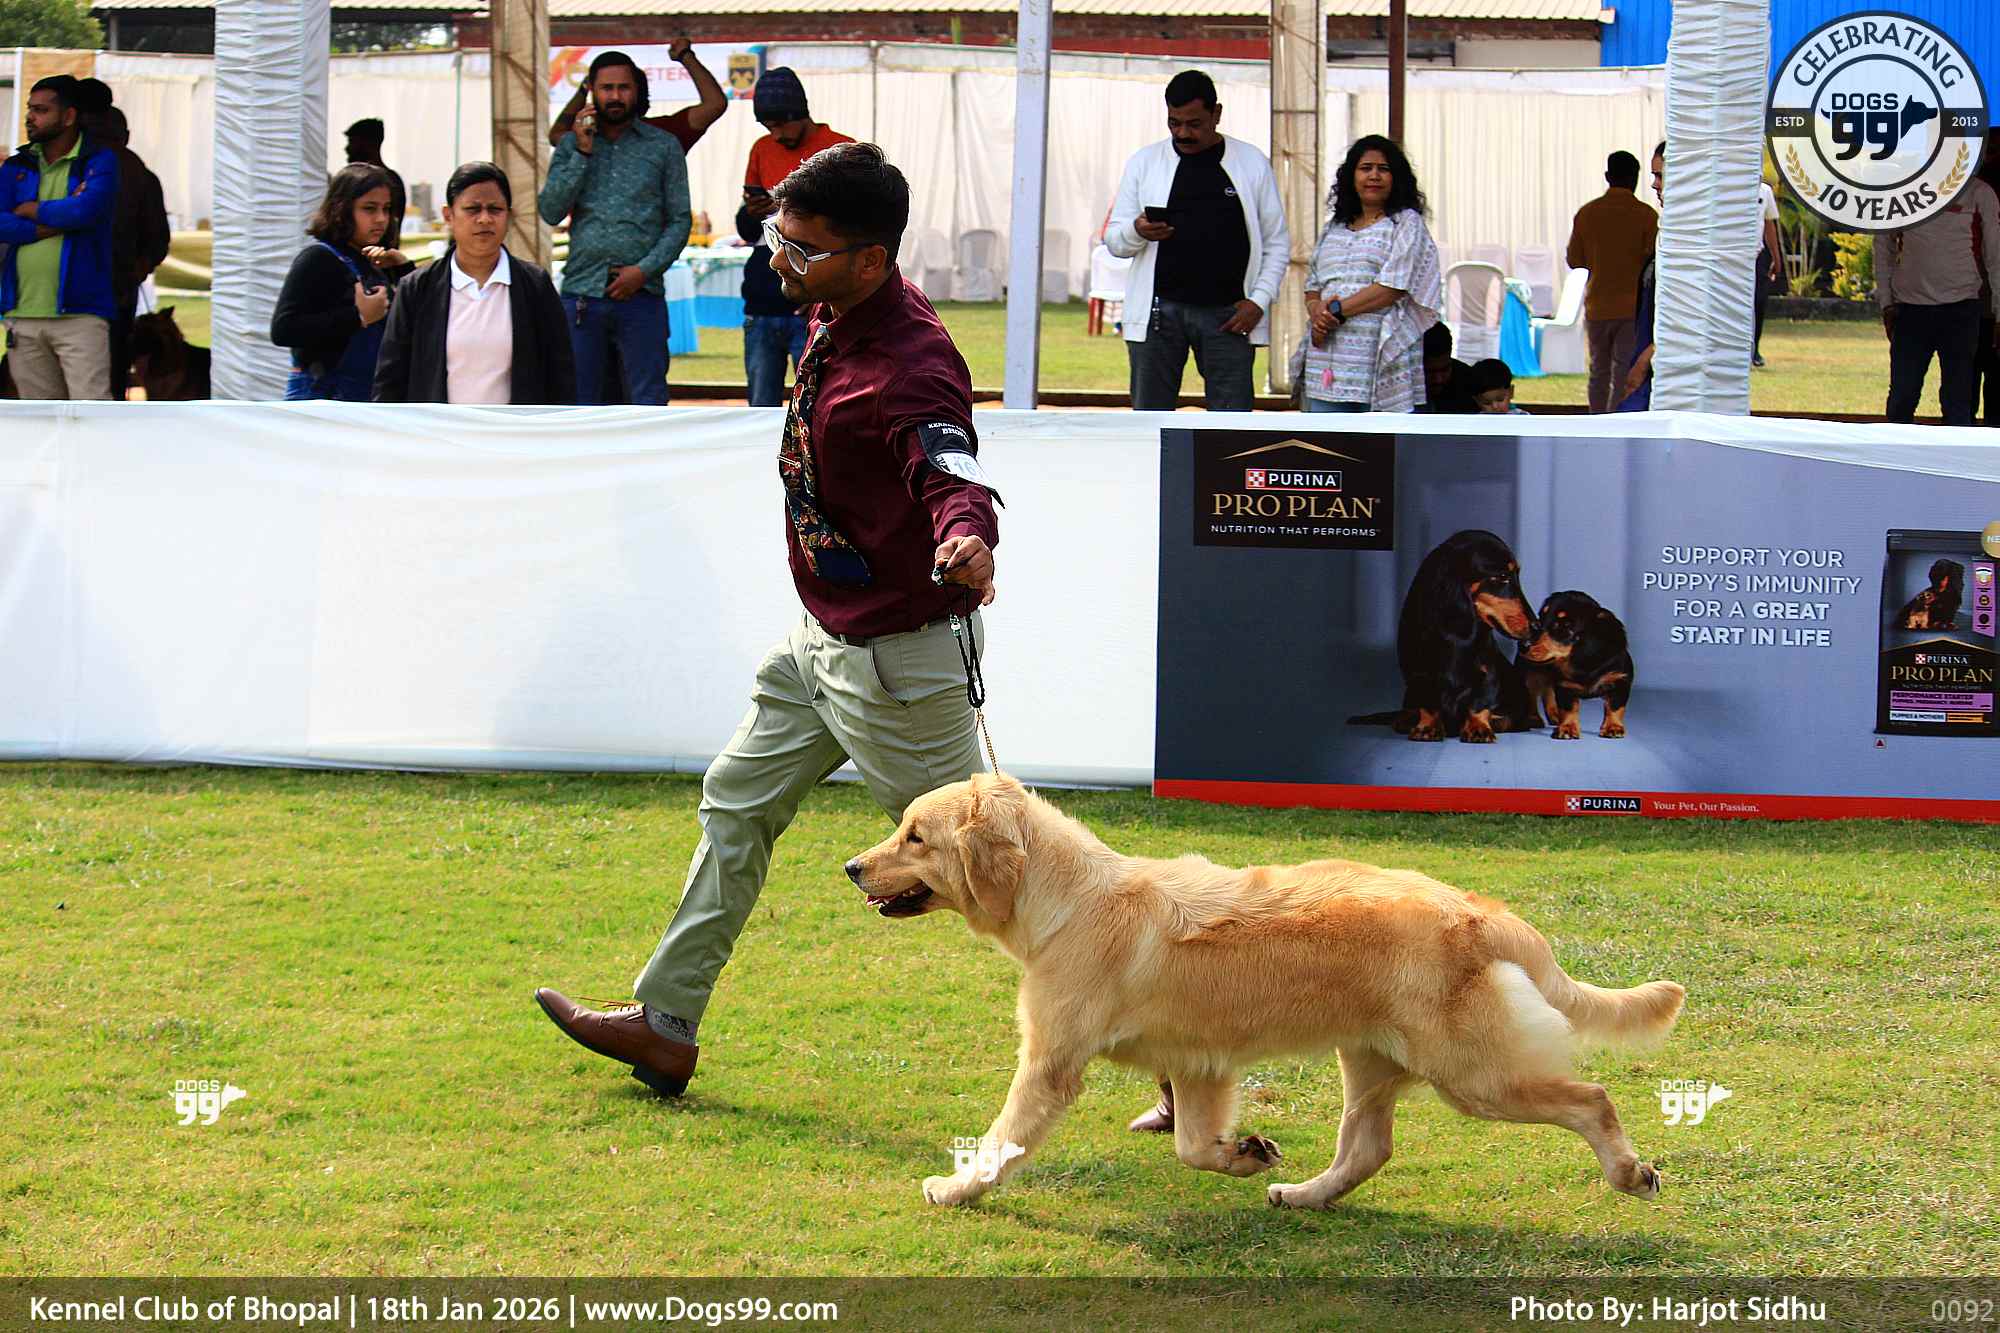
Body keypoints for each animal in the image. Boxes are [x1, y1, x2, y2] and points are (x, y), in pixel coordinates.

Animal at [847, 772, 1685, 1210]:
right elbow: (1192, 1145)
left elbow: (1002, 1139)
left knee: (1592, 1097)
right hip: (1371, 1060)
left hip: (1473, 1074)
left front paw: (955, 1186)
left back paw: (1630, 1171)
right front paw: (1245, 1152)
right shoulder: (1199, 1064)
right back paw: (1304, 1192)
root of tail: (1484, 912)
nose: (852, 867)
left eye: (915, 835)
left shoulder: (1051, 1064)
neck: (1068, 898)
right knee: (1369, 1147)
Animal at [1348, 529, 1539, 743]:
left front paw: (1478, 726)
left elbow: (1481, 701)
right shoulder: (1419, 674)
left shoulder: (1488, 671)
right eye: (1502, 576)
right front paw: (1427, 726)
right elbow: (1427, 701)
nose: (1537, 627)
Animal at [1521, 591, 1635, 740]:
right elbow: (1569, 709)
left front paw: (1613, 727)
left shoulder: (1620, 680)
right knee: (1532, 695)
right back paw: (1534, 718)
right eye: (1540, 618)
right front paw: (1567, 728)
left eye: (1565, 626)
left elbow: (1615, 707)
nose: (1522, 645)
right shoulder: (1565, 686)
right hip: (1532, 674)